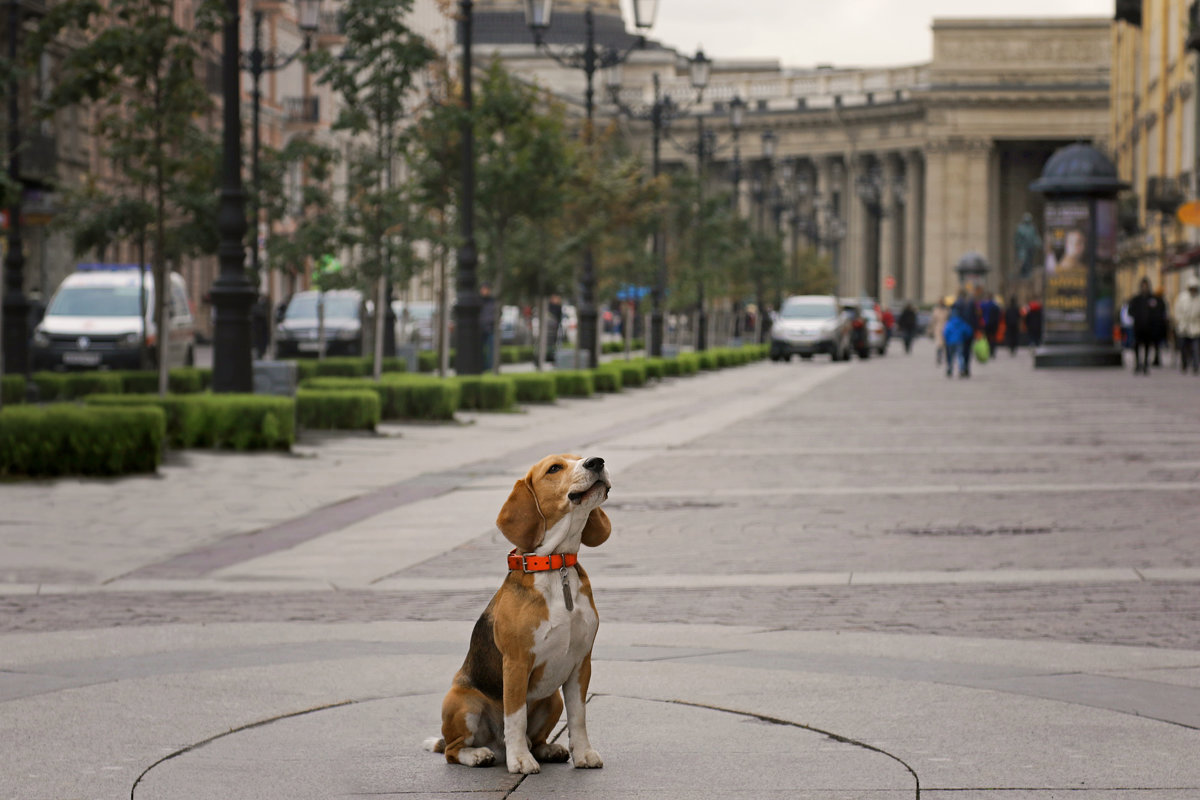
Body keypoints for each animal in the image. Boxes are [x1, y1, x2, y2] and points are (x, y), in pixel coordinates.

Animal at [424, 455, 614, 777]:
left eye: (580, 458)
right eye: (554, 468)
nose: (596, 461)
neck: (556, 566)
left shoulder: (580, 663)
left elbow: (578, 716)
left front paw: (583, 753)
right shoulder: (516, 663)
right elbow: (515, 717)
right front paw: (520, 761)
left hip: (552, 699)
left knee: (535, 738)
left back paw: (547, 749)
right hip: (464, 701)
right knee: (452, 750)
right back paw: (479, 754)